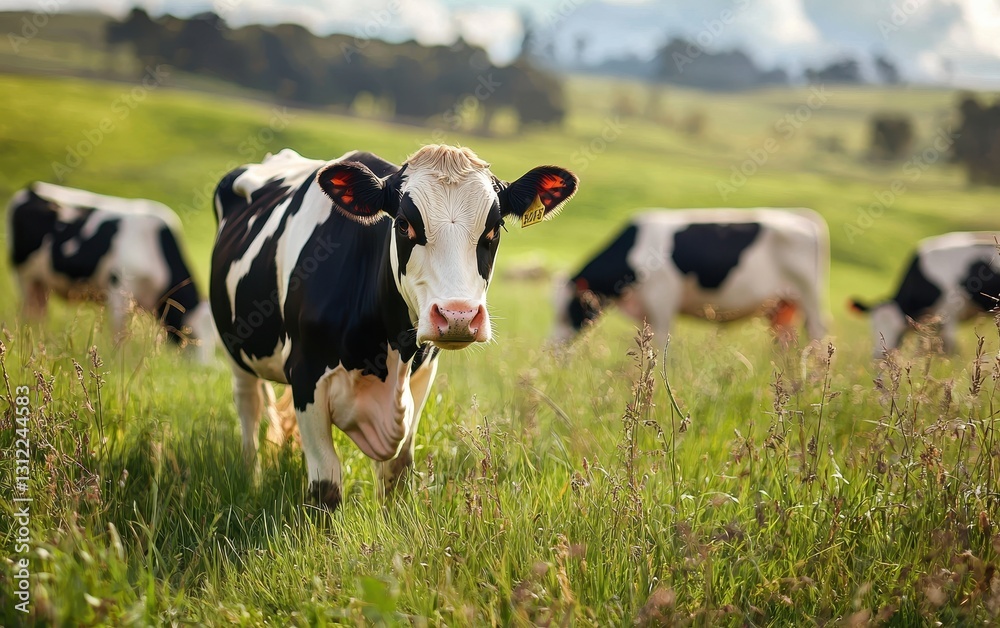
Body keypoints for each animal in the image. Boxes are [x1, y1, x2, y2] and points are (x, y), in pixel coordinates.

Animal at [8, 182, 215, 362]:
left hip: (40, 283)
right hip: (22, 276)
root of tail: (33, 187)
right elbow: (120, 333)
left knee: (39, 315)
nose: (206, 369)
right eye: (191, 336)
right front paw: (120, 360)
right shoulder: (119, 291)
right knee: (29, 314)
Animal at [210, 146, 577, 509]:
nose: (457, 315)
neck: (386, 357)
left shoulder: (422, 375)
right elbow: (326, 483)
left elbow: (397, 475)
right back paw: (251, 477)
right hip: (236, 350)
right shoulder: (306, 374)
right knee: (248, 409)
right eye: (402, 225)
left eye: (495, 228)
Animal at [551, 208, 829, 344]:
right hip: (782, 308)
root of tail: (805, 220)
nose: (551, 352)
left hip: (809, 298)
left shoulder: (662, 304)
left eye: (566, 312)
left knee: (817, 336)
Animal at [851, 232, 1000, 356]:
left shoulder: (949, 314)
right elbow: (924, 348)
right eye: (872, 326)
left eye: (900, 329)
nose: (881, 355)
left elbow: (949, 350)